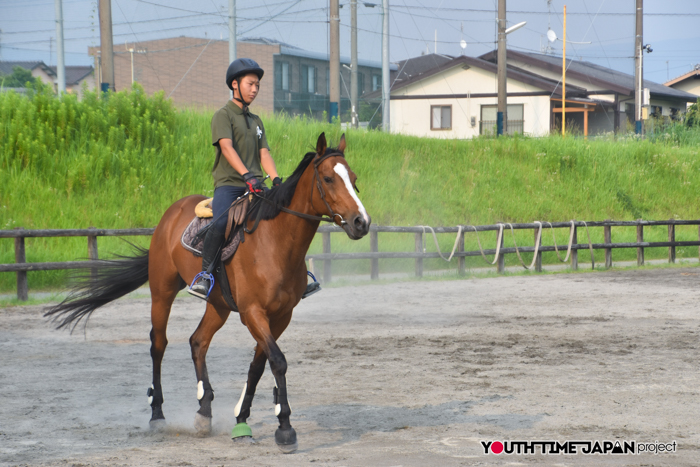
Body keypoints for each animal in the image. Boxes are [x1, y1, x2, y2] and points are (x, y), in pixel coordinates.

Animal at [45, 132, 371, 453]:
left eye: (354, 178)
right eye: (328, 178)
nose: (361, 222)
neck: (274, 242)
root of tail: (172, 212)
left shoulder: (281, 316)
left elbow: (258, 364)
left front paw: (242, 419)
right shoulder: (253, 313)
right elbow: (277, 361)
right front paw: (285, 428)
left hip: (218, 305)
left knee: (198, 342)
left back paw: (204, 411)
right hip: (162, 292)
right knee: (158, 345)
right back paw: (157, 414)